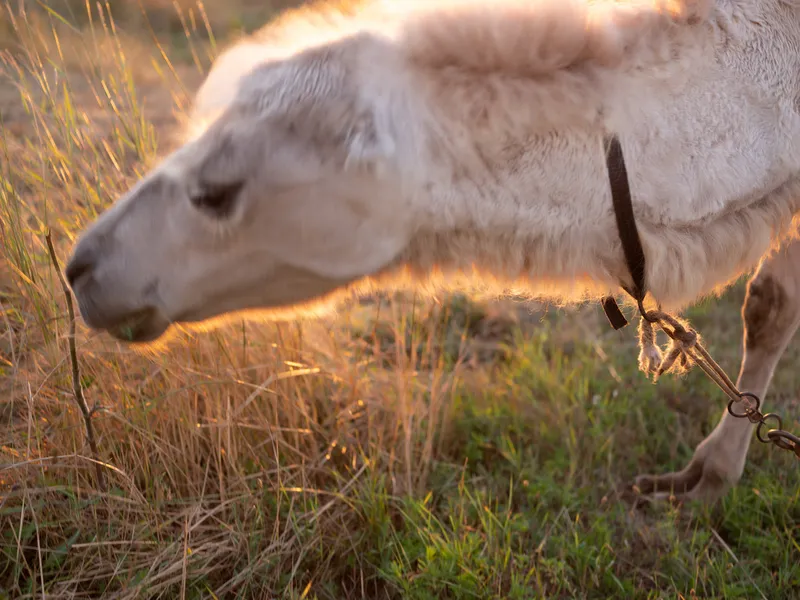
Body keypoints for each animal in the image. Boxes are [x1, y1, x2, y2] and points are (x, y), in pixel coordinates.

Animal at [64, 0, 800, 502]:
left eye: (215, 193)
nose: (81, 267)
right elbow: (769, 305)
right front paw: (704, 476)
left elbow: (771, 308)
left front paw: (710, 476)